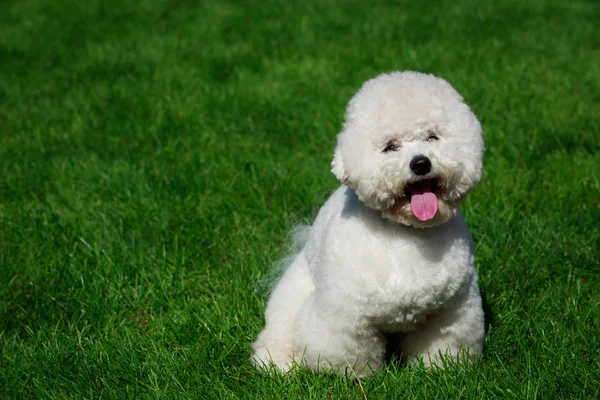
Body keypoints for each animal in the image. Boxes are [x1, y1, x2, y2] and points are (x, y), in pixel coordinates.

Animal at [251, 71, 486, 376]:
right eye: (390, 147)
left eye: (433, 136)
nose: (421, 163)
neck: (405, 232)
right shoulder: (346, 316)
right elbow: (347, 351)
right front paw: (351, 376)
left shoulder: (450, 310)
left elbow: (442, 344)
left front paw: (440, 368)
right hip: (292, 297)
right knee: (280, 331)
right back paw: (278, 361)